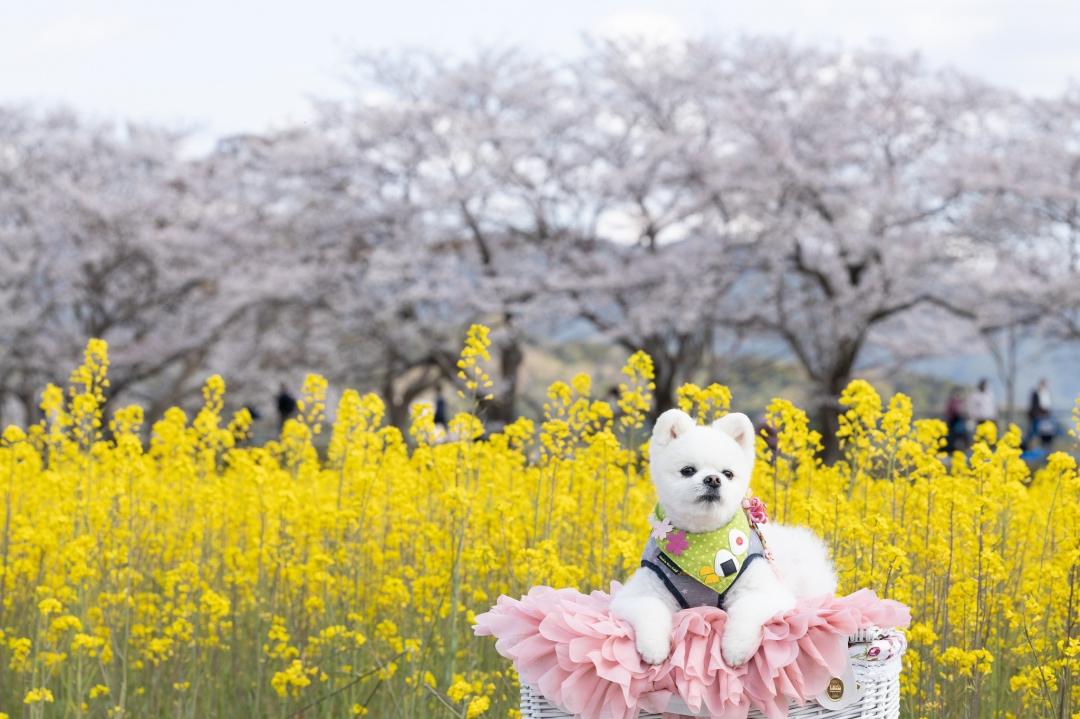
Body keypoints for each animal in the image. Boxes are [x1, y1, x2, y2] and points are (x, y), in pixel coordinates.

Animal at [609, 405, 833, 665]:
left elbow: (747, 611)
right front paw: (654, 648)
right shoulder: (642, 591)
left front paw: (735, 649)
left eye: (728, 473)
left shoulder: (764, 591)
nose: (713, 479)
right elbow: (649, 610)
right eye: (688, 470)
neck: (703, 542)